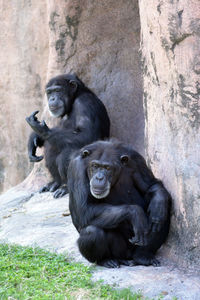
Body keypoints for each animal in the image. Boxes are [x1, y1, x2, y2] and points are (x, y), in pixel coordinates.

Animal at [67, 139, 170, 268]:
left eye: (107, 168)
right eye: (95, 166)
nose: (99, 177)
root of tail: (128, 257)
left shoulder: (137, 160)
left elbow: (151, 186)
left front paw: (158, 203)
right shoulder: (76, 168)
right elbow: (84, 209)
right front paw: (136, 214)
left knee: (161, 217)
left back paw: (143, 255)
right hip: (120, 250)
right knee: (92, 231)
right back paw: (107, 260)